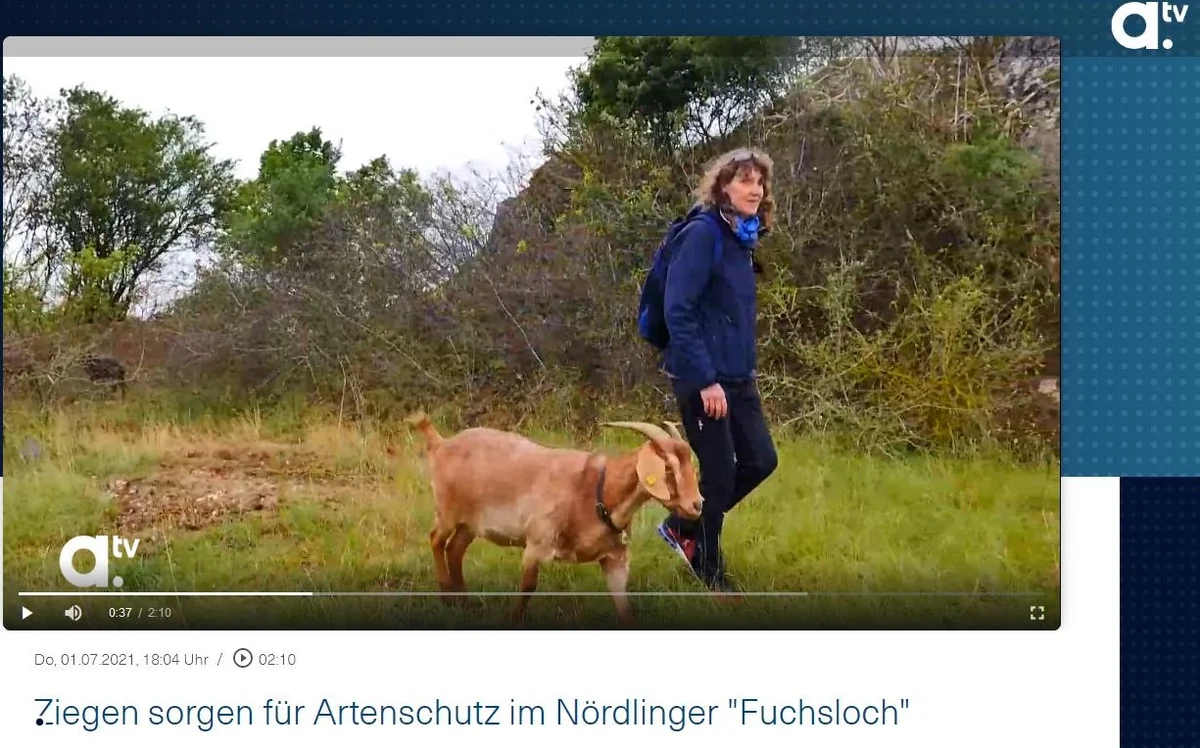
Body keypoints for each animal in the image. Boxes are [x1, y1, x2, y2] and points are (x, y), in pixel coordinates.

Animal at [405, 412, 703, 627]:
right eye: (667, 467)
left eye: (690, 463)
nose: (697, 504)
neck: (597, 490)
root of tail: (441, 444)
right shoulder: (537, 543)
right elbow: (527, 587)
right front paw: (512, 621)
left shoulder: (615, 560)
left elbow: (624, 608)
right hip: (447, 510)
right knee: (436, 539)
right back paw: (447, 596)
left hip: (471, 523)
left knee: (455, 549)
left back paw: (465, 603)